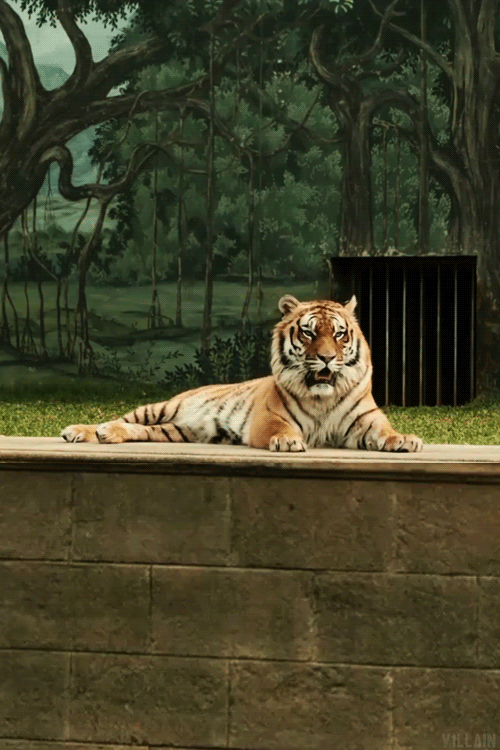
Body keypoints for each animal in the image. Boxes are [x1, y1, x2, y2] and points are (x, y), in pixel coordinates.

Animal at [61, 294, 423, 452]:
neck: (322, 398)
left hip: (178, 431)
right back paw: (82, 431)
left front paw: (405, 440)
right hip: (160, 407)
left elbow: (385, 431)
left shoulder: (365, 421)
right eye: (309, 333)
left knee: (138, 430)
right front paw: (288, 442)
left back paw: (109, 434)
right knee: (123, 418)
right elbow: (282, 429)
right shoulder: (270, 418)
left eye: (339, 334)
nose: (326, 358)